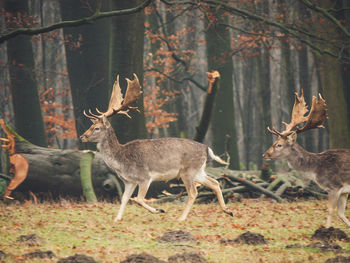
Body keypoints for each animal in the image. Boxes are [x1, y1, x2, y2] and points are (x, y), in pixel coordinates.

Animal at [79, 74, 232, 223]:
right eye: (91, 125)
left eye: (97, 128)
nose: (82, 136)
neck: (121, 161)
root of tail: (206, 148)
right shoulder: (129, 181)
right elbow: (124, 199)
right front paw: (117, 218)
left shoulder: (145, 177)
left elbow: (138, 199)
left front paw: (159, 210)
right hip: (198, 170)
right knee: (215, 183)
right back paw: (227, 211)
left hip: (188, 171)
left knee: (194, 192)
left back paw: (181, 218)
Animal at [264, 91, 350, 229]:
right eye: (275, 142)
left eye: (279, 145)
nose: (265, 154)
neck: (316, 170)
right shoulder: (344, 191)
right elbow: (341, 214)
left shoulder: (334, 186)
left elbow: (330, 210)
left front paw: (327, 230)